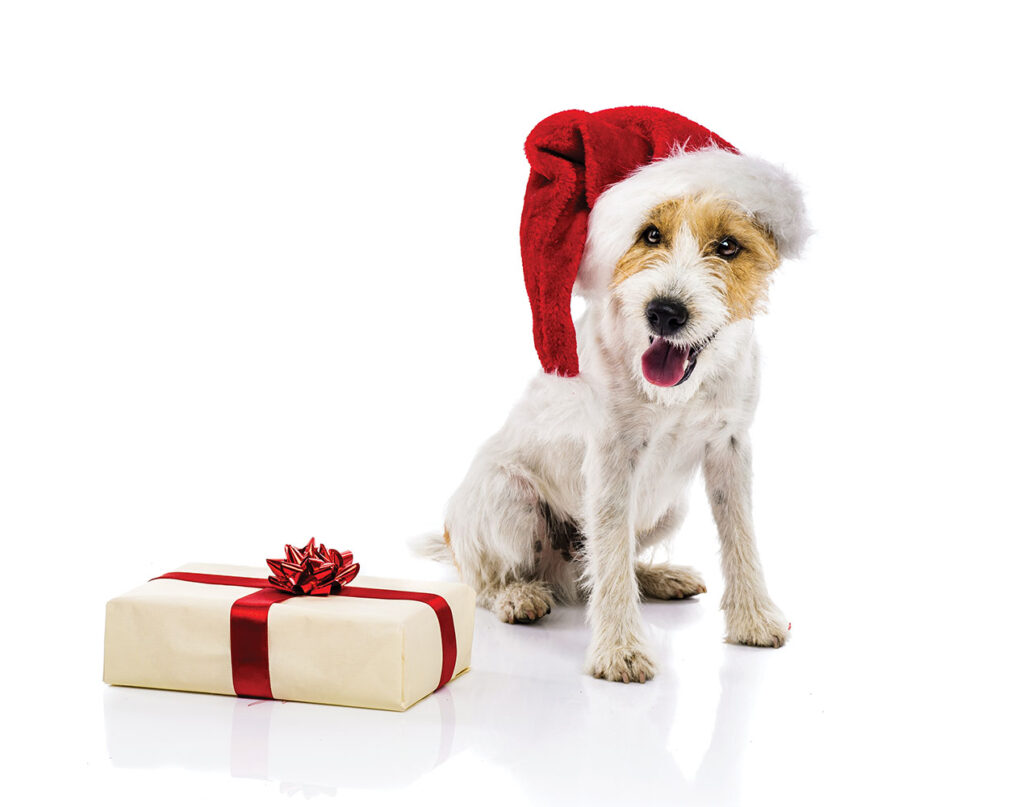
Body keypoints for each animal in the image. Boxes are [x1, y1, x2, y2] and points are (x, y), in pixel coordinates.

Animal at [419, 110, 802, 684]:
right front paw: (619, 649)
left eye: (728, 246)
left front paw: (754, 617)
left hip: (670, 508)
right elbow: (611, 549)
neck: (678, 394)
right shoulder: (612, 457)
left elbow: (740, 535)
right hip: (507, 497)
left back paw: (659, 577)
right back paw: (518, 595)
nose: (664, 312)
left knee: (596, 568)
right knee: (488, 579)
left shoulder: (730, 447)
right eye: (650, 234)